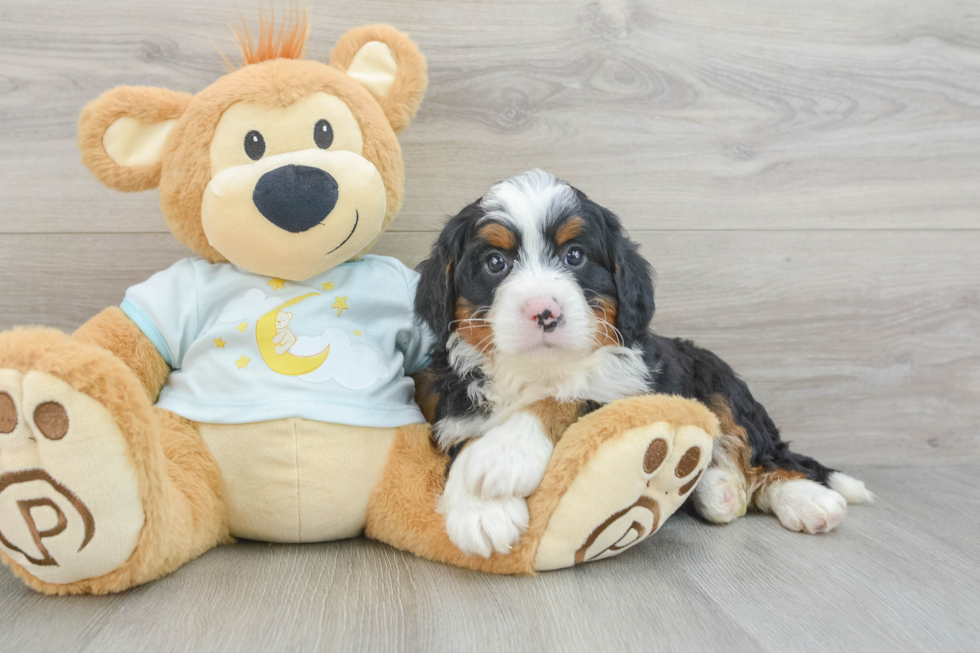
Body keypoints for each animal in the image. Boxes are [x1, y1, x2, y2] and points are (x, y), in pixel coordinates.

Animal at [414, 168, 872, 556]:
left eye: (575, 256)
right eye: (495, 263)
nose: (545, 311)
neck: (540, 371)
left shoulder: (629, 394)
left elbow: (564, 401)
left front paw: (503, 455)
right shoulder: (455, 406)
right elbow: (466, 438)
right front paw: (479, 511)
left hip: (720, 382)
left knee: (769, 456)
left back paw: (806, 499)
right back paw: (717, 489)